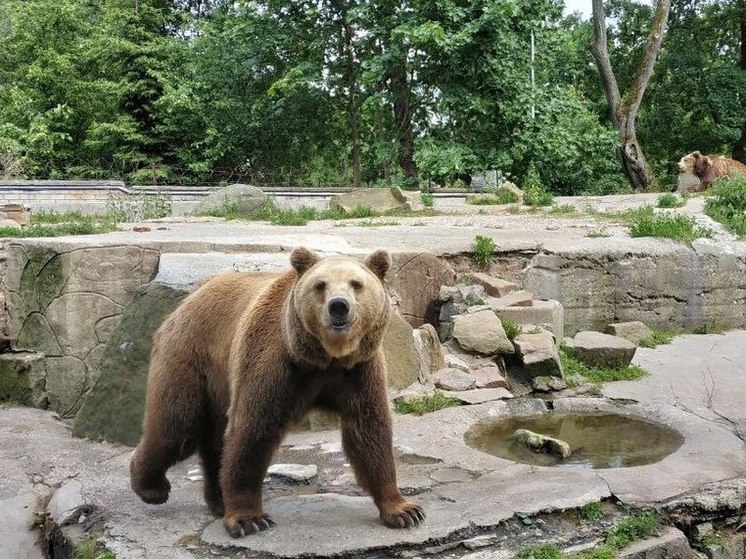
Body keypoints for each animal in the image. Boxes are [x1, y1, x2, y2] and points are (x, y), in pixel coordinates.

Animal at [129, 248, 424, 540]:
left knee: (210, 439)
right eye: (320, 285)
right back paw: (151, 487)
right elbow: (253, 431)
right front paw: (249, 519)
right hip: (192, 357)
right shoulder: (273, 360)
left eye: (356, 284)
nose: (339, 306)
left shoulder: (359, 370)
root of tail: (188, 300)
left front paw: (404, 511)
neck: (325, 357)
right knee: (178, 427)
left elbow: (369, 431)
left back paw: (218, 501)